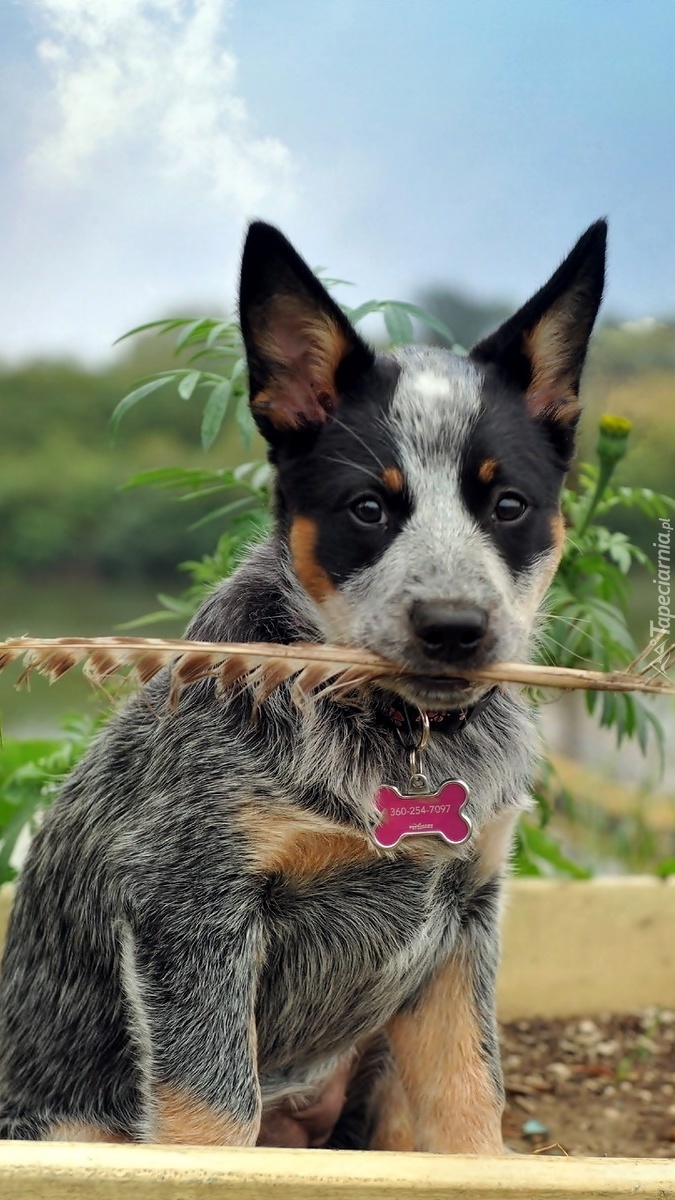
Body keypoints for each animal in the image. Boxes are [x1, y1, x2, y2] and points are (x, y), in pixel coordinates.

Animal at [0, 218, 598, 1152]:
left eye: (508, 505)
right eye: (367, 508)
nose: (454, 627)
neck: (396, 738)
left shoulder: (465, 913)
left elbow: (470, 1097)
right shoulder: (189, 900)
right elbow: (213, 1112)